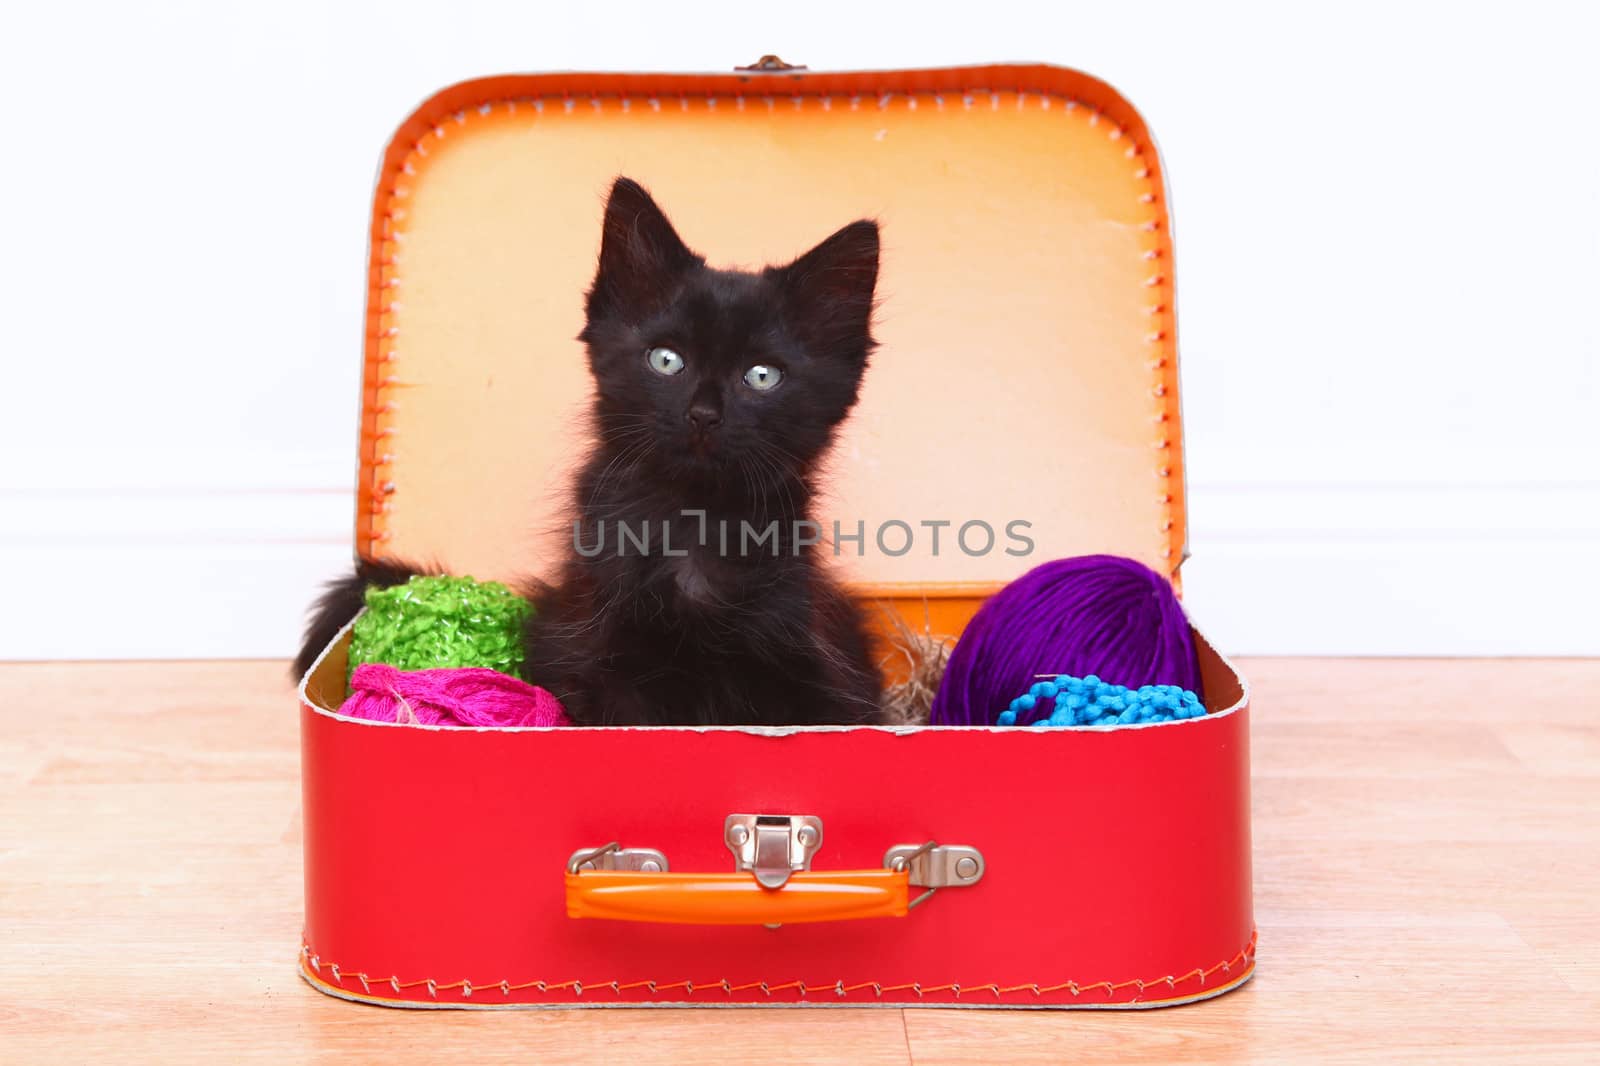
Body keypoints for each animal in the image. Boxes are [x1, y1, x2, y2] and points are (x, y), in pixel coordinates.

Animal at [294, 178, 883, 726]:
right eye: (666, 360)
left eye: (762, 376)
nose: (703, 414)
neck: (693, 520)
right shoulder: (591, 655)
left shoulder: (814, 666)